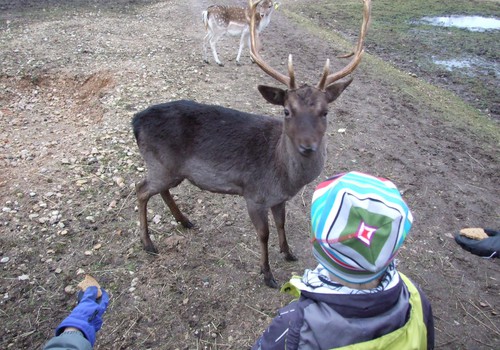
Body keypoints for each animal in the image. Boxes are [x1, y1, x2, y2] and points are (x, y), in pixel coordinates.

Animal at [134, 0, 372, 288]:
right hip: (159, 164)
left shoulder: (279, 198)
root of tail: (136, 121)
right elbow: (263, 234)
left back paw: (185, 221)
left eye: (325, 112)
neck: (282, 175)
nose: (307, 146)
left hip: (172, 170)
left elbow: (281, 224)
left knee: (162, 191)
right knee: (140, 189)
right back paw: (148, 243)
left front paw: (288, 253)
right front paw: (267, 274)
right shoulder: (254, 194)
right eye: (286, 111)